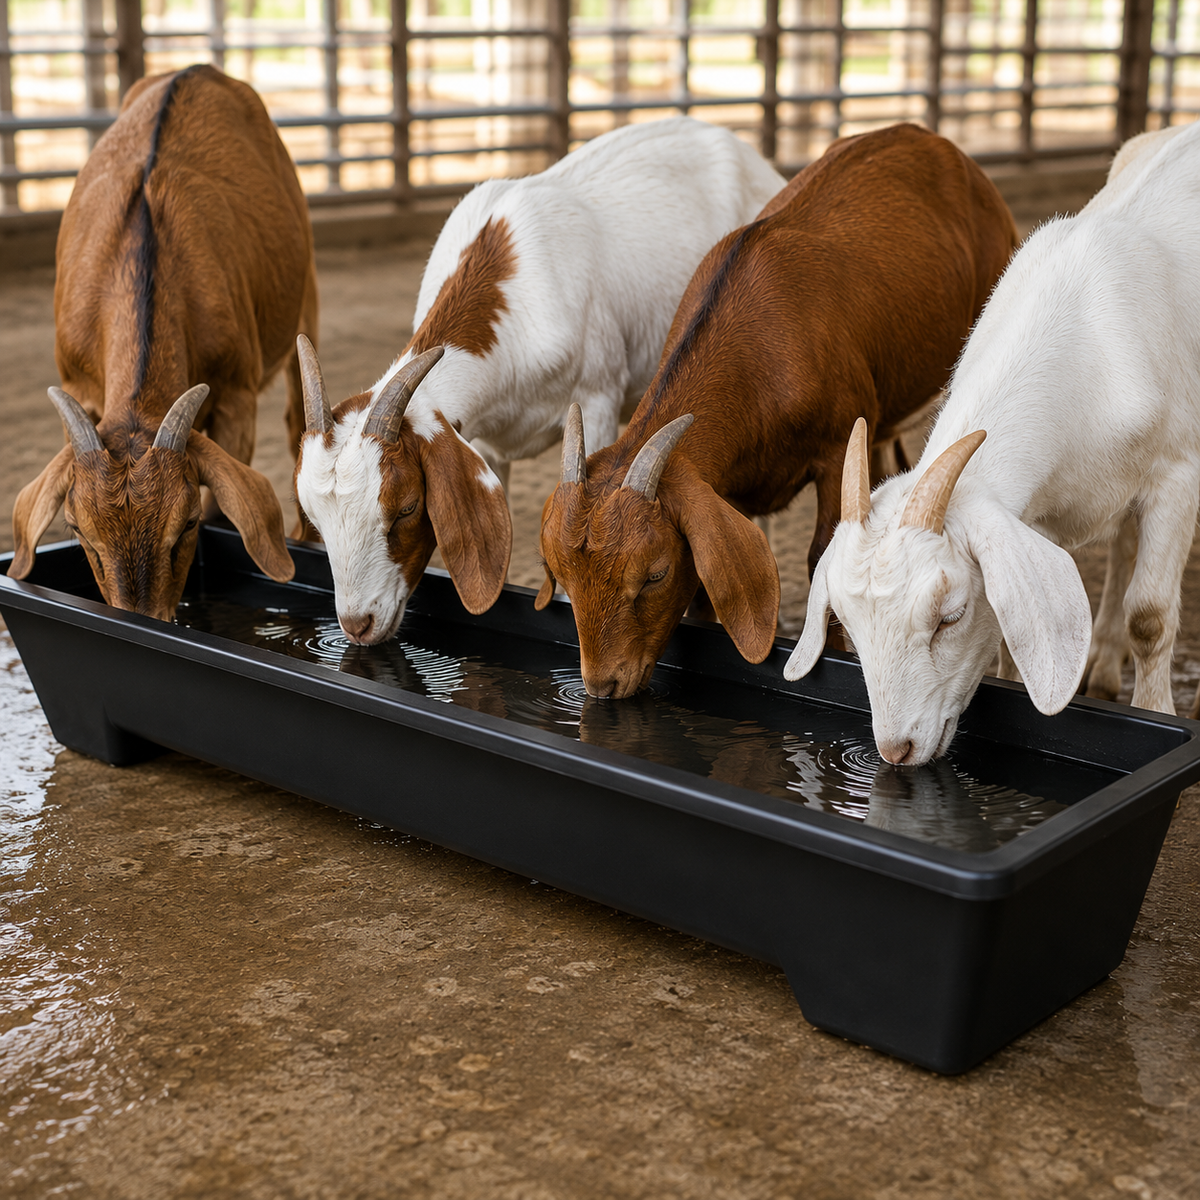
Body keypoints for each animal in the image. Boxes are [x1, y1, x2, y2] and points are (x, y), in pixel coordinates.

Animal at [7, 64, 317, 619]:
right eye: (78, 530)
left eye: (187, 524)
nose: (147, 619)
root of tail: (195, 70)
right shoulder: (79, 387)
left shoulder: (235, 395)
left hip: (306, 294)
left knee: (297, 420)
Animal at [536, 123, 1018, 699]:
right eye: (561, 574)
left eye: (654, 574)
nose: (603, 686)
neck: (762, 352)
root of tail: (939, 143)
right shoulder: (724, 493)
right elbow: (709, 585)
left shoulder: (838, 449)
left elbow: (822, 561)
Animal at [785, 119, 1200, 765]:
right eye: (846, 625)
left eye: (949, 617)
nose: (896, 750)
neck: (1087, 344)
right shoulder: (1037, 511)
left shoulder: (1177, 478)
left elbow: (1151, 618)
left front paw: (1157, 712)